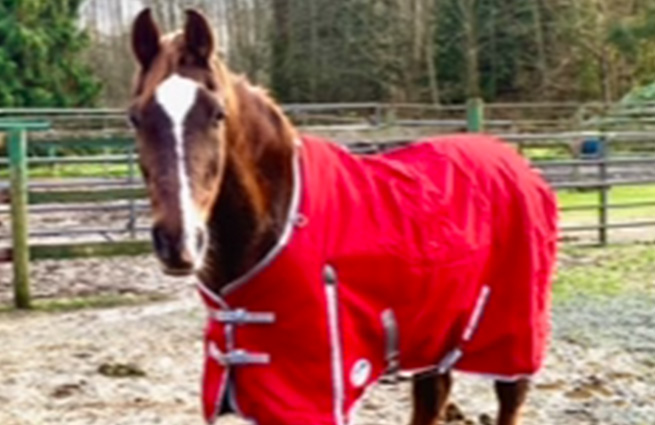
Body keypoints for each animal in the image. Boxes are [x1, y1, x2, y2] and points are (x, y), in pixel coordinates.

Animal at [129, 7, 560, 424]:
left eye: (217, 114)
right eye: (135, 116)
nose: (179, 242)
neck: (278, 220)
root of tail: (516, 161)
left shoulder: (312, 394)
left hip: (511, 339)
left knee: (509, 399)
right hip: (435, 334)